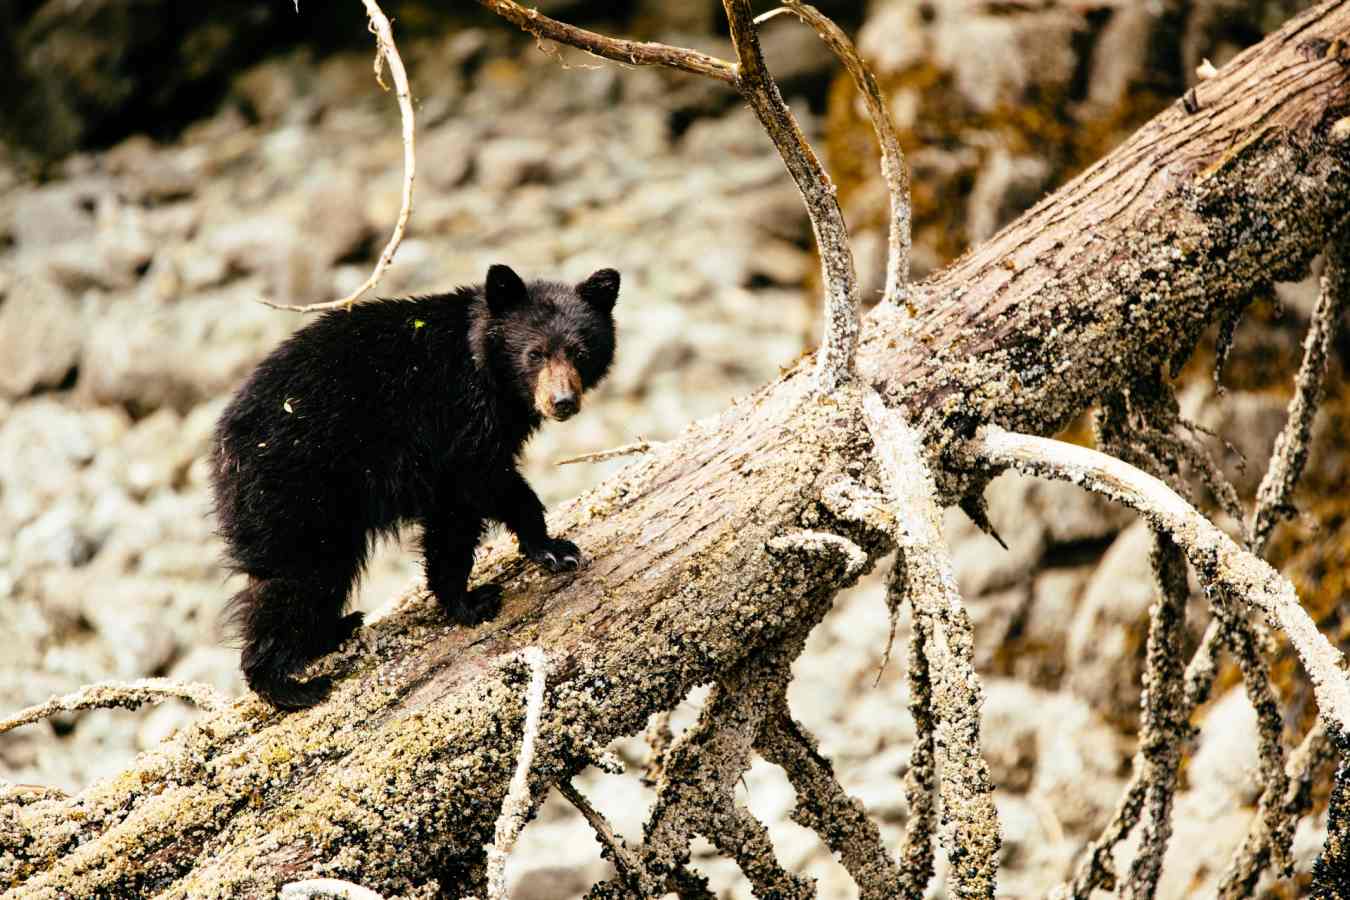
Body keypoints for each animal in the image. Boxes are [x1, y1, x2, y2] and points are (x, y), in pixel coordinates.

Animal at [210, 263, 619, 709]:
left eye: (580, 352)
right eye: (535, 353)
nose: (562, 402)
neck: (483, 368)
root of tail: (224, 450)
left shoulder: (447, 454)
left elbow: (451, 523)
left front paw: (460, 596)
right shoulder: (457, 421)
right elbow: (488, 487)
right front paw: (545, 555)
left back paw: (334, 629)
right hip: (297, 491)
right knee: (299, 578)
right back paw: (288, 685)